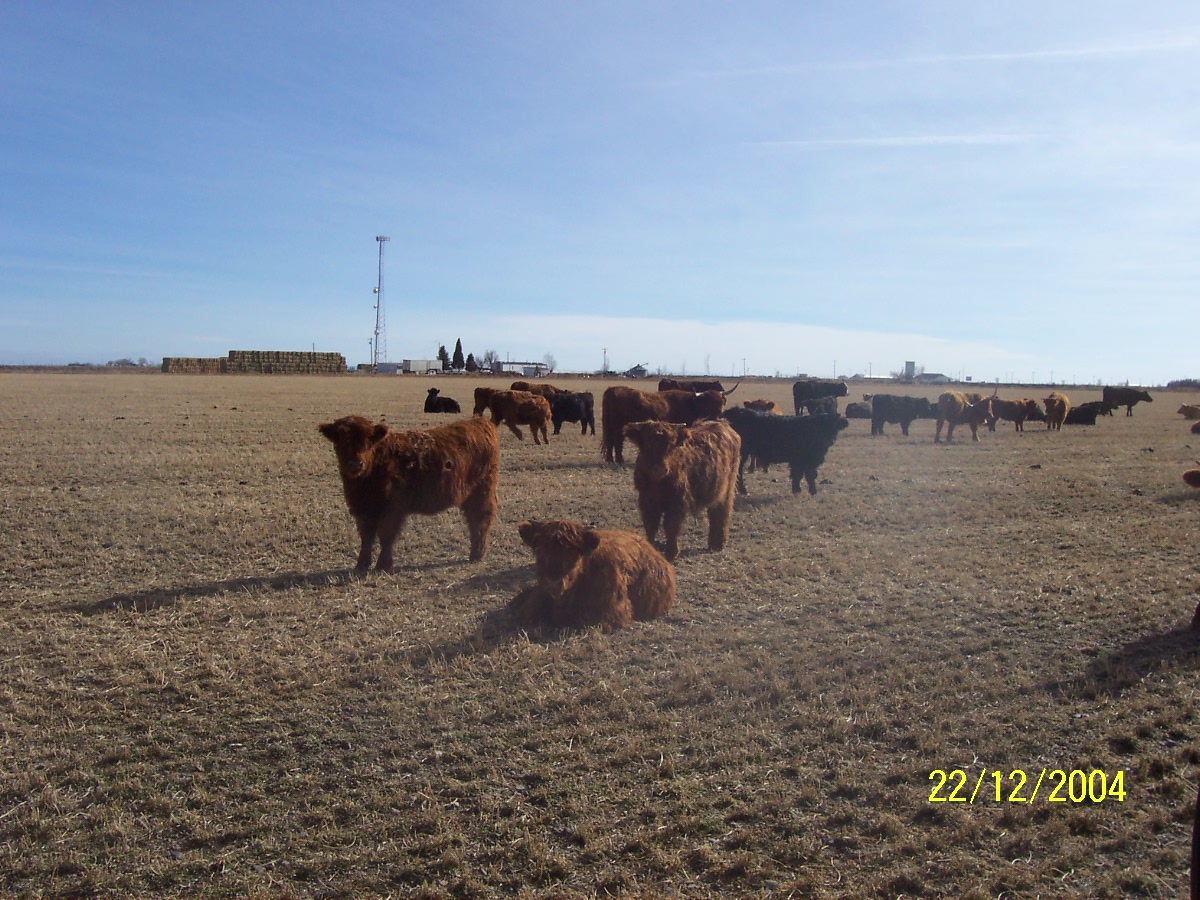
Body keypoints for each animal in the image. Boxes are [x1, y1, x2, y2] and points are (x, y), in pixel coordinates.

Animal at [317, 415, 499, 572]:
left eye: (369, 440)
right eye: (341, 440)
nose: (356, 464)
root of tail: (480, 422)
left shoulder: (392, 509)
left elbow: (386, 535)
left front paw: (383, 565)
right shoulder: (362, 510)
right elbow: (366, 537)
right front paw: (361, 565)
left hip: (482, 491)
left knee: (482, 518)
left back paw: (477, 554)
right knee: (473, 519)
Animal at [601, 386, 730, 464]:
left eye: (722, 403)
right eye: (709, 404)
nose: (718, 417)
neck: (691, 404)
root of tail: (612, 389)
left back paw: (612, 459)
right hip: (617, 426)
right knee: (616, 440)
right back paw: (618, 459)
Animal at [623, 419, 741, 561]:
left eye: (670, 445)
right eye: (648, 443)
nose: (660, 469)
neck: (658, 484)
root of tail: (722, 423)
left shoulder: (677, 502)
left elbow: (671, 526)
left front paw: (671, 553)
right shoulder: (646, 501)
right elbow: (651, 525)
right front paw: (649, 547)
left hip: (728, 488)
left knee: (722, 512)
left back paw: (718, 543)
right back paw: (713, 543)